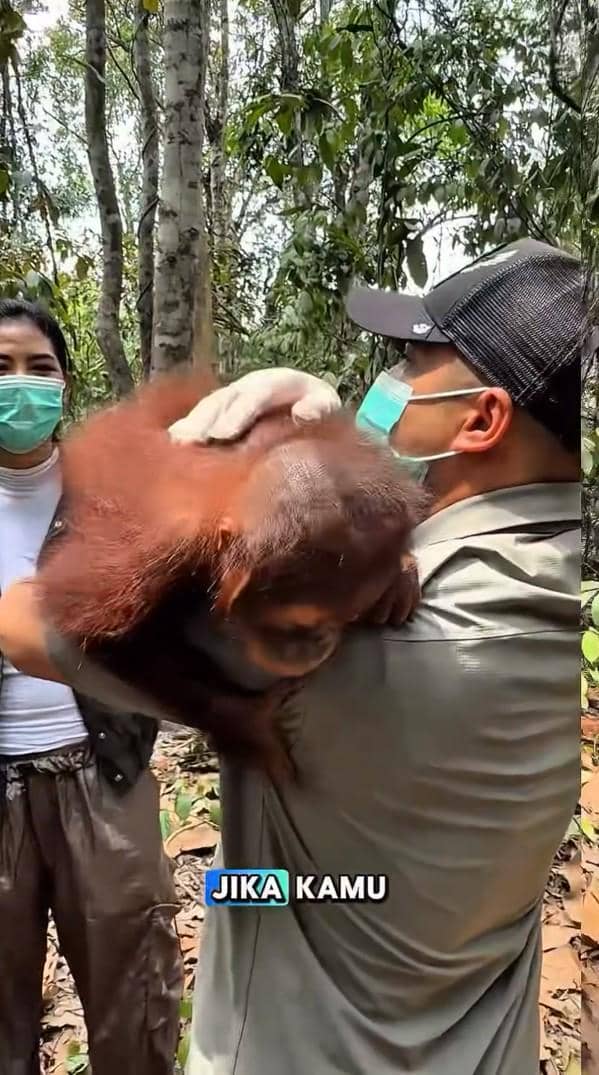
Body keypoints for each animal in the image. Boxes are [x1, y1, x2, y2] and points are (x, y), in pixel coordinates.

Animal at [36, 370, 428, 779]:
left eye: (346, 619)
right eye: (297, 625)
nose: (319, 642)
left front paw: (401, 572)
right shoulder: (148, 551)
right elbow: (91, 639)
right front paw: (250, 724)